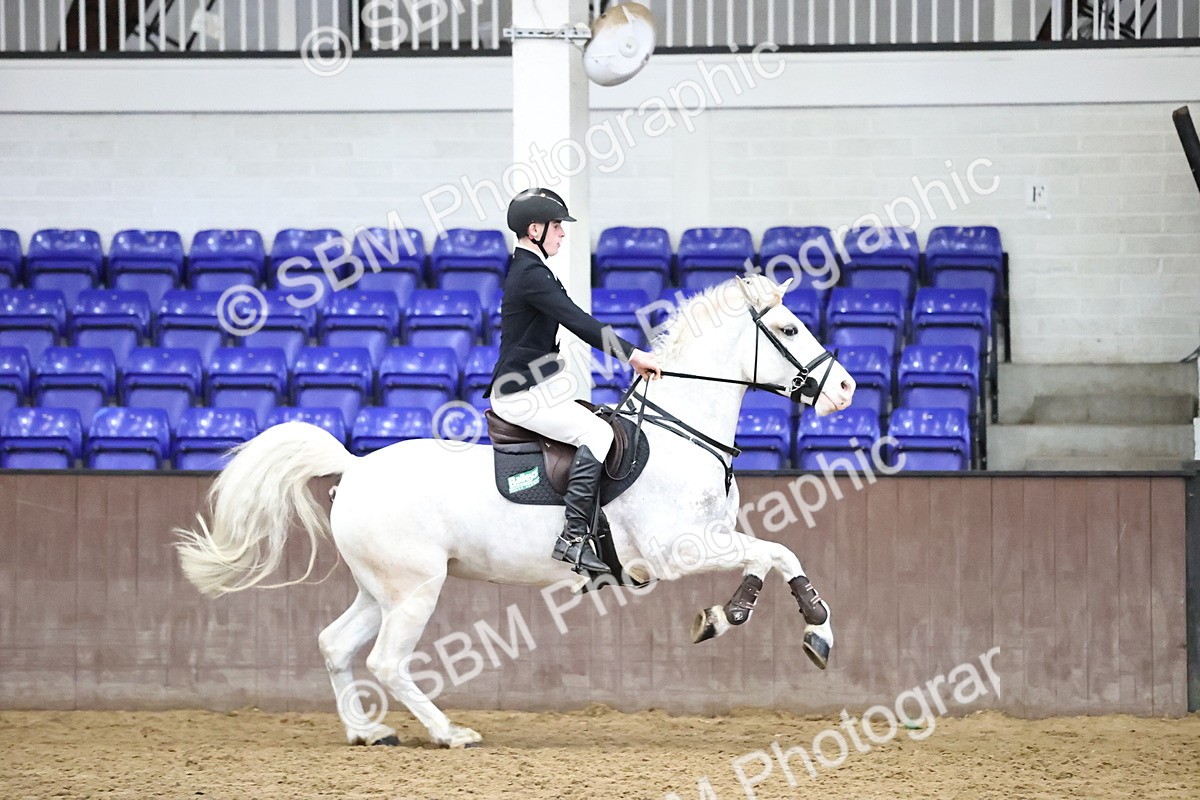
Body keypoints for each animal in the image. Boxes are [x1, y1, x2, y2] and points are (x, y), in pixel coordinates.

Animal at [176, 274, 857, 748]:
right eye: (789, 330)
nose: (846, 390)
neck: (678, 432)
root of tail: (356, 467)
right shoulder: (678, 550)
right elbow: (777, 550)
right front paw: (815, 627)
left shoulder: (712, 536)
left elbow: (767, 555)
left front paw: (727, 615)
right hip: (414, 590)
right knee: (385, 661)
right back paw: (448, 733)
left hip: (381, 589)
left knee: (336, 646)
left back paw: (368, 732)